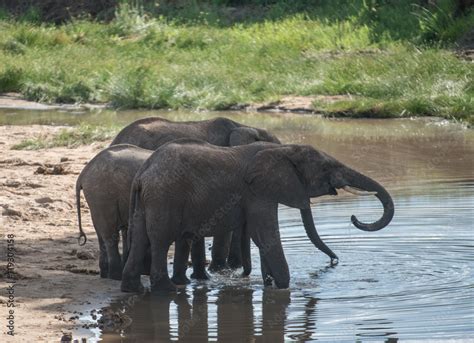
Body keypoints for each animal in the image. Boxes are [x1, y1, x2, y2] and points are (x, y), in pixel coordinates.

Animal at [120, 140, 394, 292]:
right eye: (326, 167)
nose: (335, 260)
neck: (284, 150)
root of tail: (143, 173)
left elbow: (262, 238)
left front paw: (269, 283)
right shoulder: (259, 192)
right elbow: (265, 234)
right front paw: (284, 287)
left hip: (146, 201)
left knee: (141, 238)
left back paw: (132, 289)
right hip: (164, 197)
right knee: (159, 239)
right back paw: (166, 291)